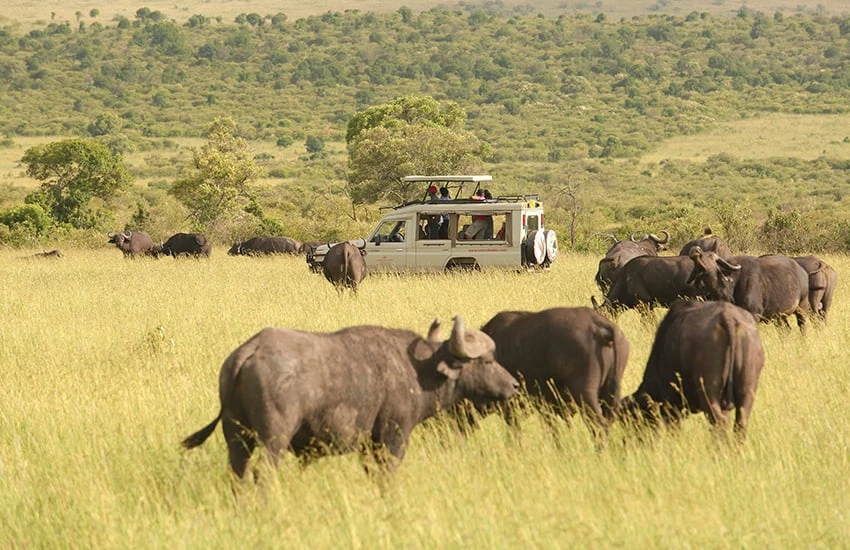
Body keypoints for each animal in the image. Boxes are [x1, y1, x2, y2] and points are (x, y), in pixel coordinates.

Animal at [182, 320, 520, 478]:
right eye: (487, 360)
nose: (515, 385)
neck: (418, 369)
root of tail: (250, 350)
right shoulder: (393, 437)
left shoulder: (368, 446)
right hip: (273, 439)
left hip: (236, 437)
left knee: (236, 472)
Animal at [620, 300, 764, 438]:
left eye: (632, 419)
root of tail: (727, 316)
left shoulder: (672, 402)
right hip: (747, 389)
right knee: (739, 423)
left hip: (708, 390)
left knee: (718, 422)